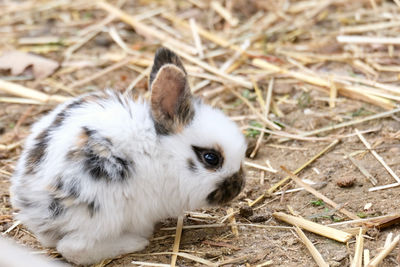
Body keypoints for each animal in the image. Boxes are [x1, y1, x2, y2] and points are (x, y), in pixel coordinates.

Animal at [10, 48, 247, 266]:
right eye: (211, 158)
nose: (240, 186)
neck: (163, 152)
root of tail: (31, 205)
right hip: (104, 212)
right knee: (74, 249)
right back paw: (134, 241)